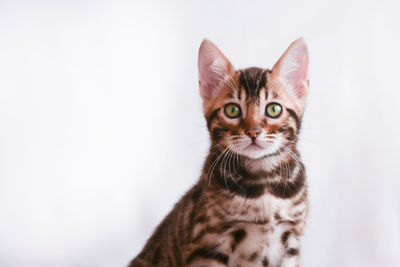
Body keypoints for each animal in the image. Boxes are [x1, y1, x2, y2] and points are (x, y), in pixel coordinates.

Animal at [130, 38, 310, 267]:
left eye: (273, 109)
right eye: (232, 110)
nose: (253, 131)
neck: (263, 182)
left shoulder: (290, 243)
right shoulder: (209, 246)